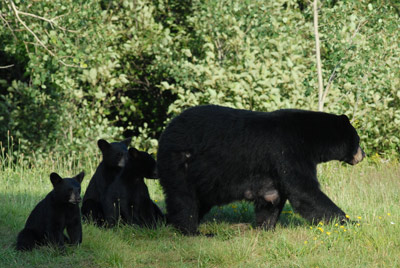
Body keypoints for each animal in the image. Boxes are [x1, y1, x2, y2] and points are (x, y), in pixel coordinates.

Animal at [156, 104, 366, 234]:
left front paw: (265, 227)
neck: (311, 138)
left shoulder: (273, 168)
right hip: (180, 162)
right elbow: (304, 191)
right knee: (184, 199)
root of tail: (167, 129)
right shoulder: (287, 150)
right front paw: (352, 222)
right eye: (358, 140)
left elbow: (272, 198)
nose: (362, 154)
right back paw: (191, 231)